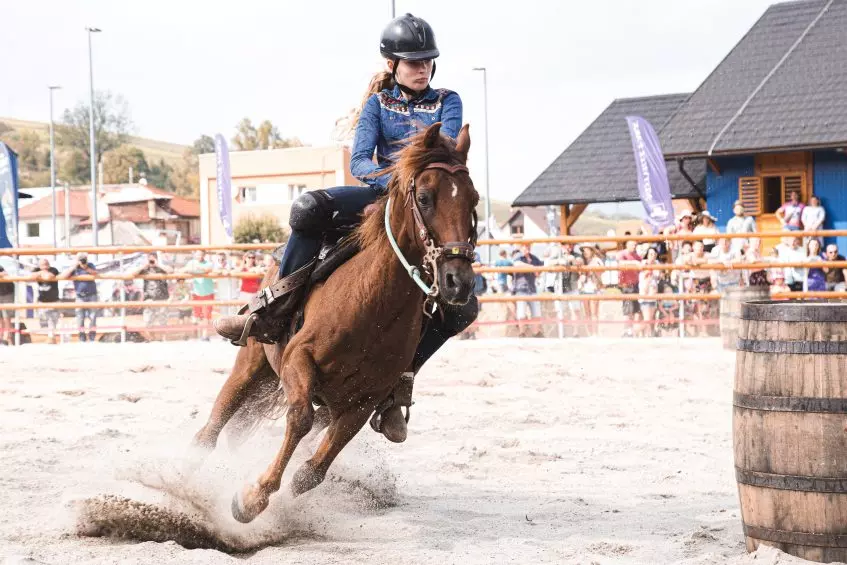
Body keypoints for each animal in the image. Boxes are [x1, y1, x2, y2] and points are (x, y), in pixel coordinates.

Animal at [195, 121, 480, 524]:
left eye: (474, 200)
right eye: (424, 198)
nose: (458, 280)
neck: (372, 308)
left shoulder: (363, 401)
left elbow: (310, 473)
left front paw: (266, 499)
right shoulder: (298, 361)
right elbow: (298, 419)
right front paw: (250, 499)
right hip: (252, 364)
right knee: (212, 428)